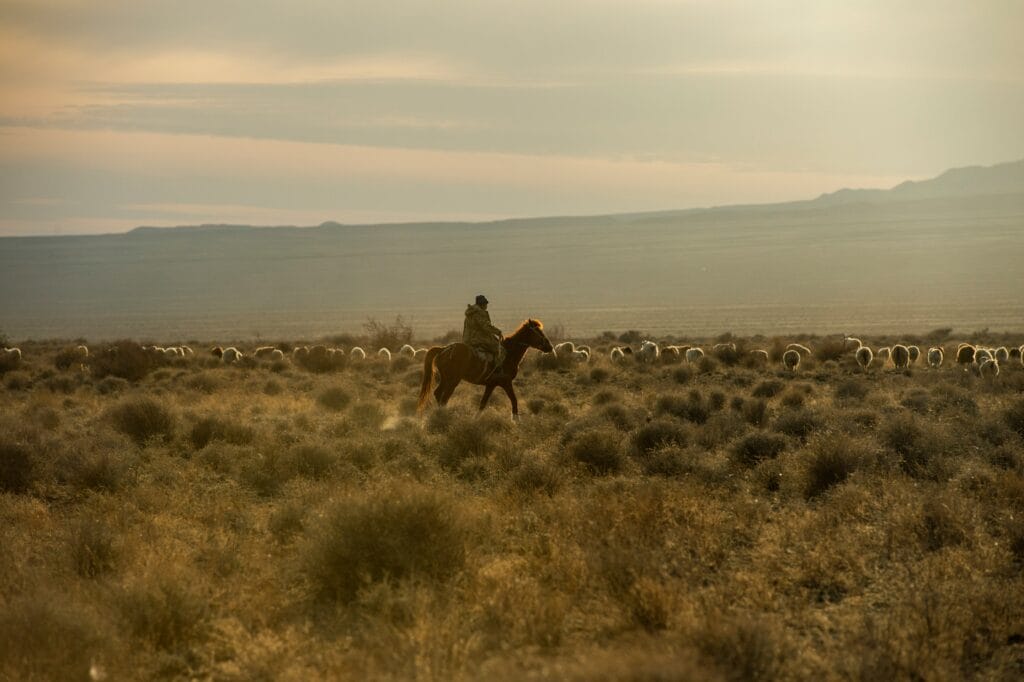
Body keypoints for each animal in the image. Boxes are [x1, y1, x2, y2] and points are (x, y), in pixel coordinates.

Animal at [417, 319, 553, 420]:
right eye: (538, 332)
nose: (550, 346)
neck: (509, 354)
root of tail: (443, 349)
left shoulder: (491, 385)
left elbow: (482, 403)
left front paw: (475, 420)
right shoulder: (506, 383)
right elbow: (514, 400)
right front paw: (516, 421)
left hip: (446, 379)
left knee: (438, 394)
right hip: (453, 380)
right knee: (444, 398)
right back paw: (444, 416)